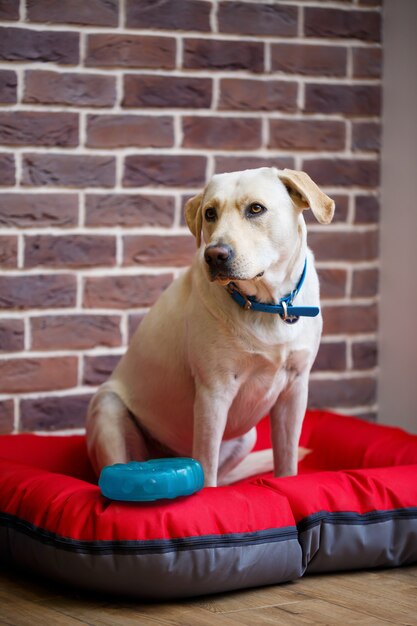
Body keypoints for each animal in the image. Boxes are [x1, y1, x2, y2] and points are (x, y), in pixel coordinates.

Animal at [86, 168, 334, 486]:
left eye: (256, 209)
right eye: (209, 213)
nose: (215, 255)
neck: (268, 305)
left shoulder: (295, 390)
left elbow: (287, 461)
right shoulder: (213, 393)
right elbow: (206, 469)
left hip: (248, 436)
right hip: (107, 406)